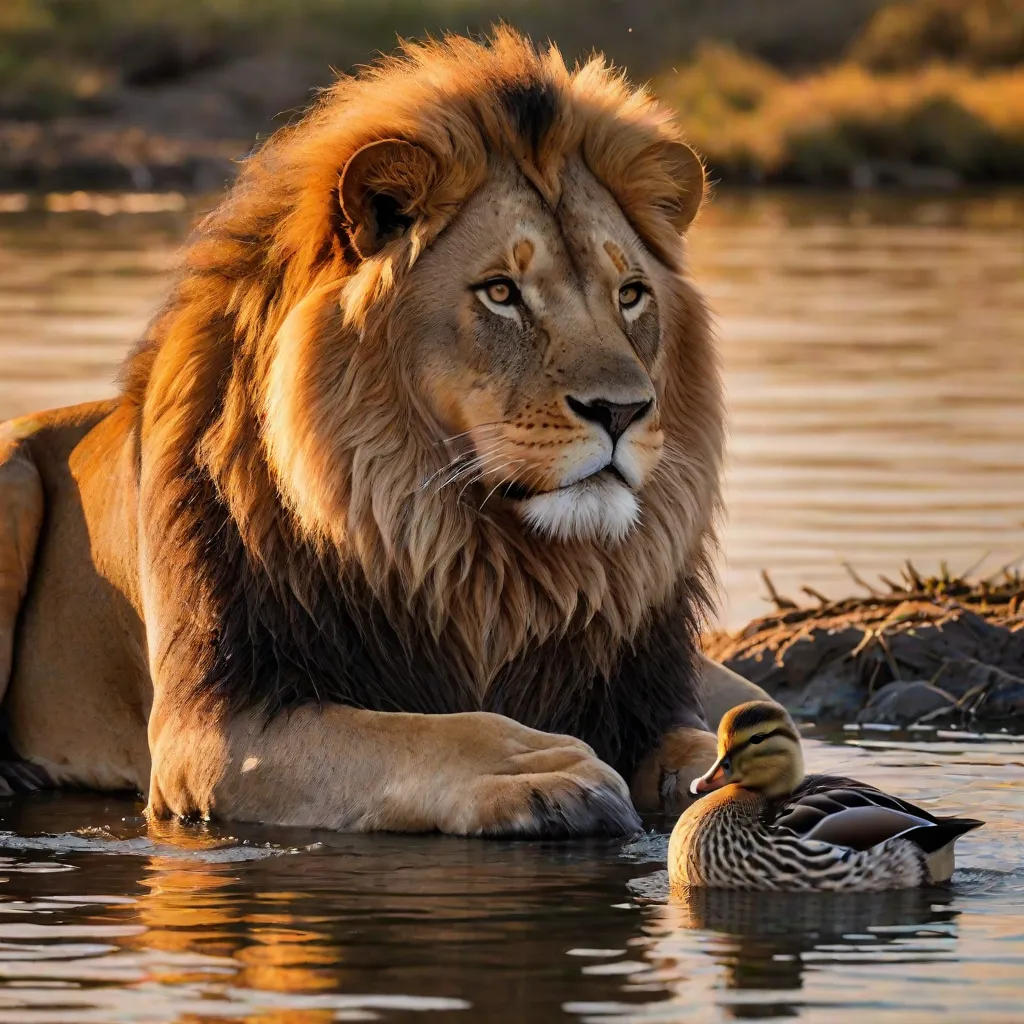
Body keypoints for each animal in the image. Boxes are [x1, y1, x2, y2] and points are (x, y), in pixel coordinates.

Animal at [0, 29, 768, 834]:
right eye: (501, 292)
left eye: (630, 295)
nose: (622, 411)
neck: (474, 558)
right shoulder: (209, 730)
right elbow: (420, 731)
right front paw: (539, 768)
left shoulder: (650, 694)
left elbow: (706, 740)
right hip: (12, 474)